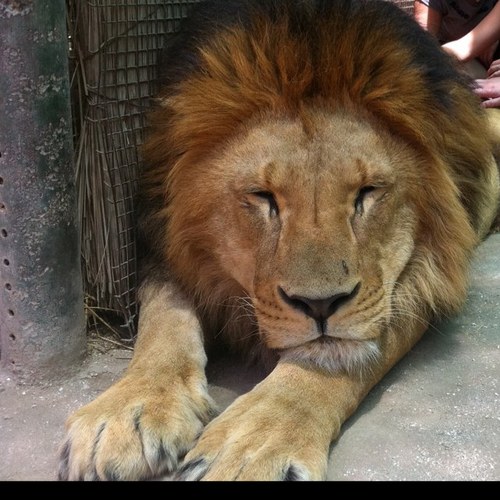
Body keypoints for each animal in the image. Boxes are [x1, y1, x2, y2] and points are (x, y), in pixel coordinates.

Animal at [57, 0, 496, 478]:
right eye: (263, 196)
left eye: (367, 192)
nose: (321, 305)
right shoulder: (164, 243)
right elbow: (163, 315)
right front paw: (127, 411)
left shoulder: (428, 272)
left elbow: (339, 354)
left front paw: (254, 443)